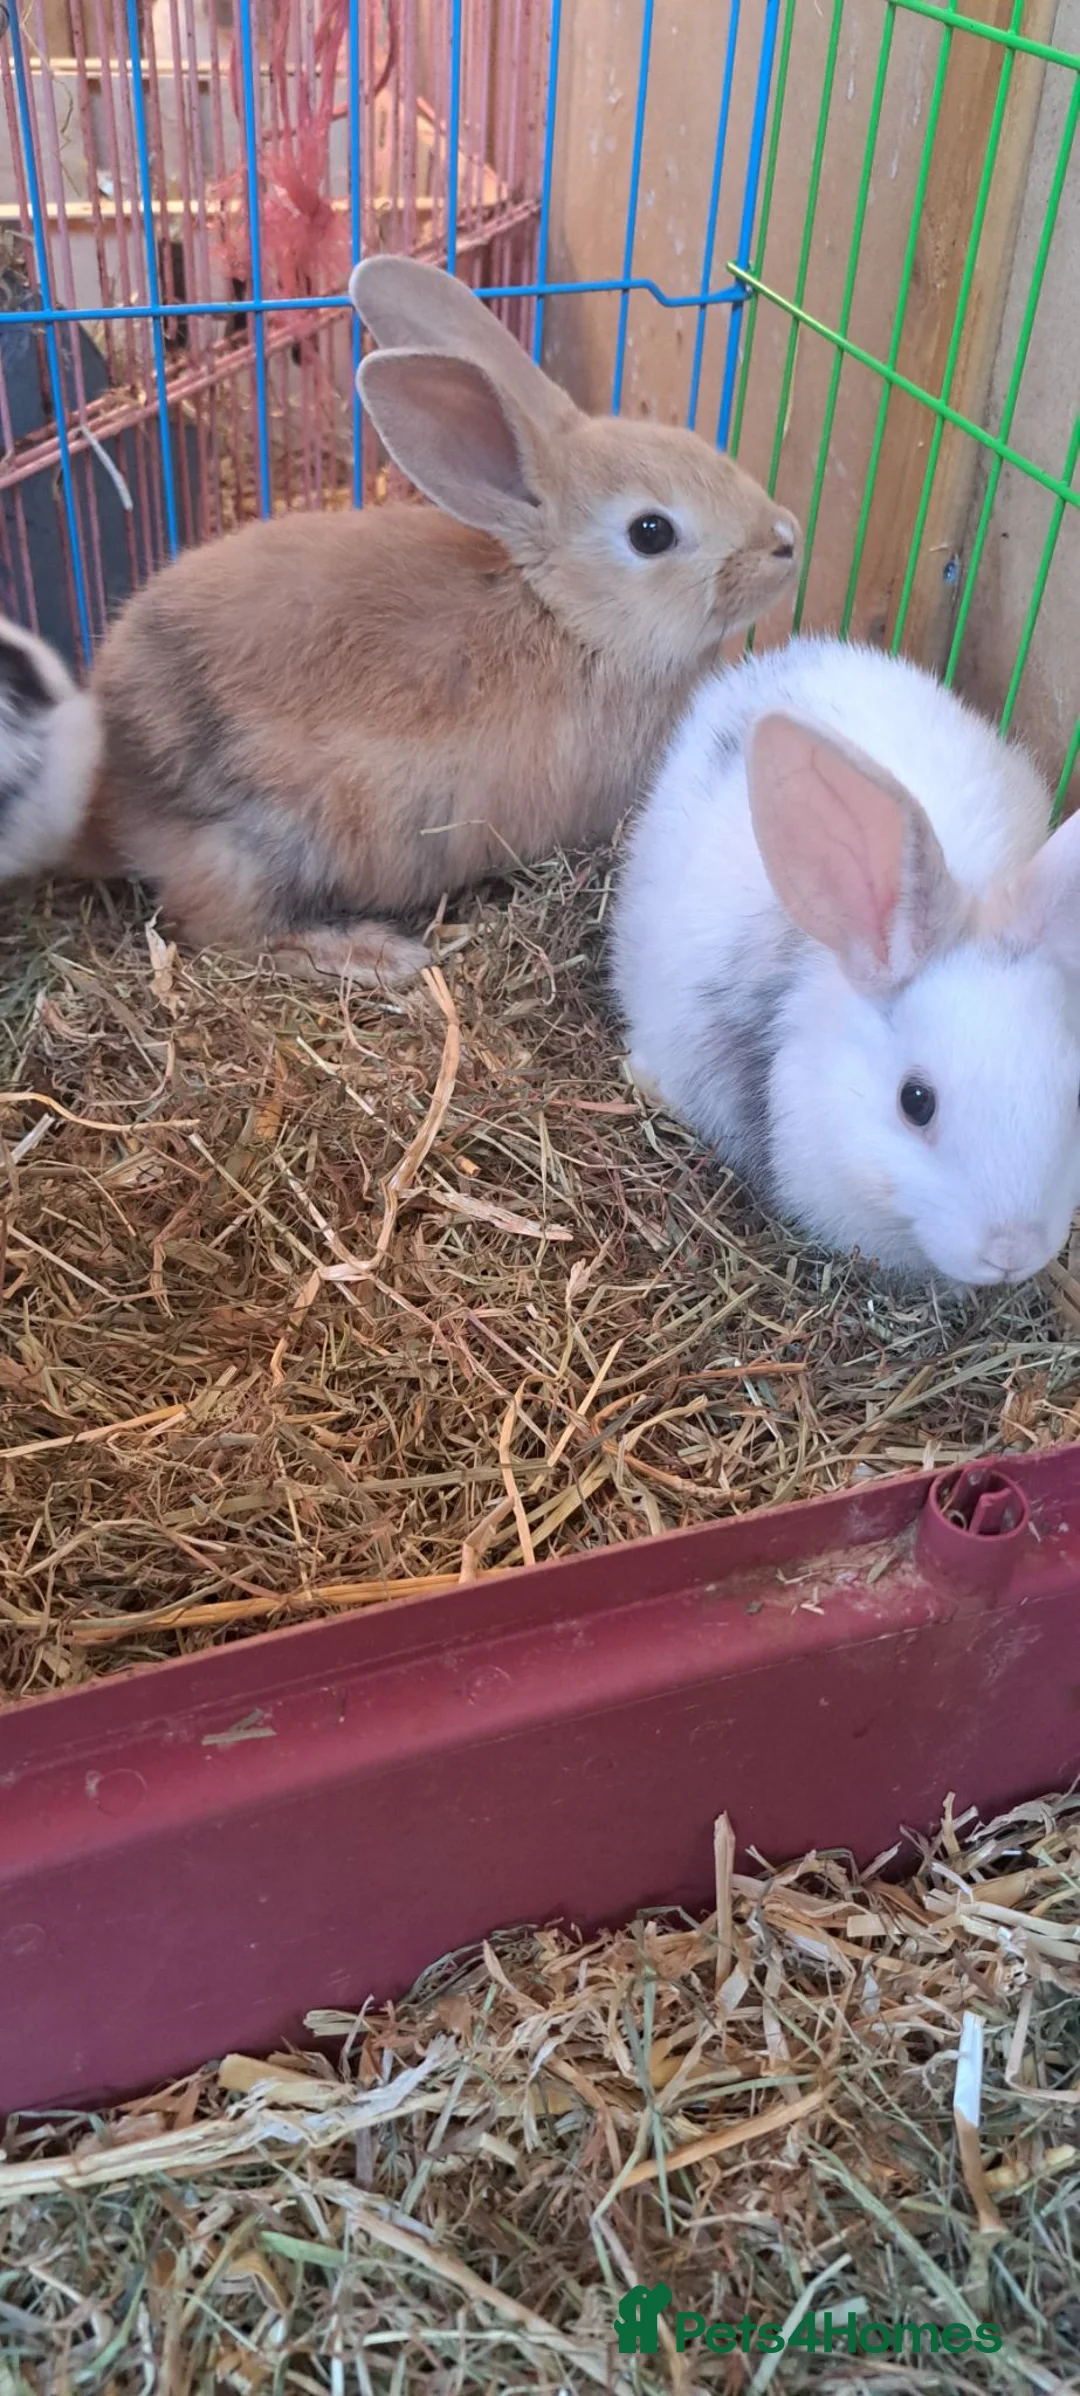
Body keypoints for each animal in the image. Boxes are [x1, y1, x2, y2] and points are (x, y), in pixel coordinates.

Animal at [2, 258, 799, 987]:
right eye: (651, 533)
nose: (786, 541)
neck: (570, 619)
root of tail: (110, 790)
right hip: (261, 844)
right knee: (227, 929)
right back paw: (373, 955)